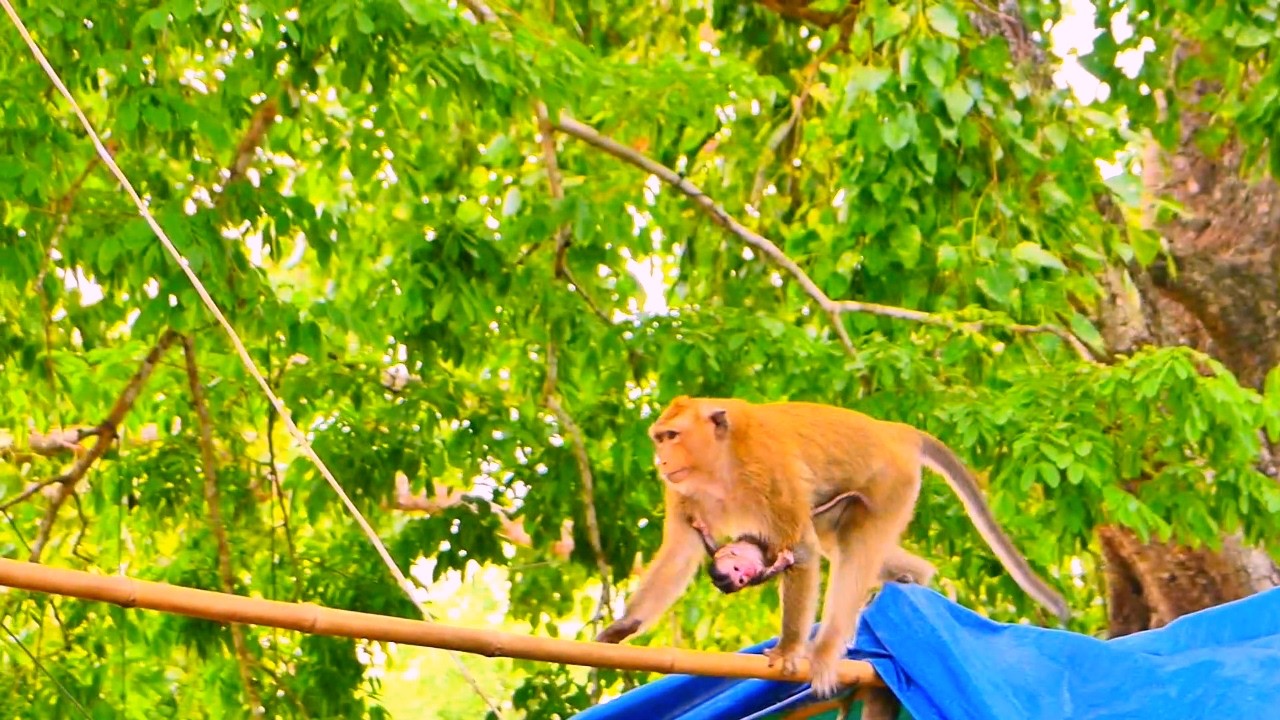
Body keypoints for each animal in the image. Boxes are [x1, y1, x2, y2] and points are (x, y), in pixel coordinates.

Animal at [595, 396, 1069, 699]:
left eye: (671, 436)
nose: (660, 460)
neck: (722, 460)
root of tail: (893, 431)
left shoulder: (770, 470)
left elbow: (801, 552)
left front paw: (789, 651)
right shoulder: (684, 493)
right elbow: (680, 554)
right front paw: (622, 627)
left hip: (891, 485)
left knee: (855, 552)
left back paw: (824, 652)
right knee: (842, 541)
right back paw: (918, 578)